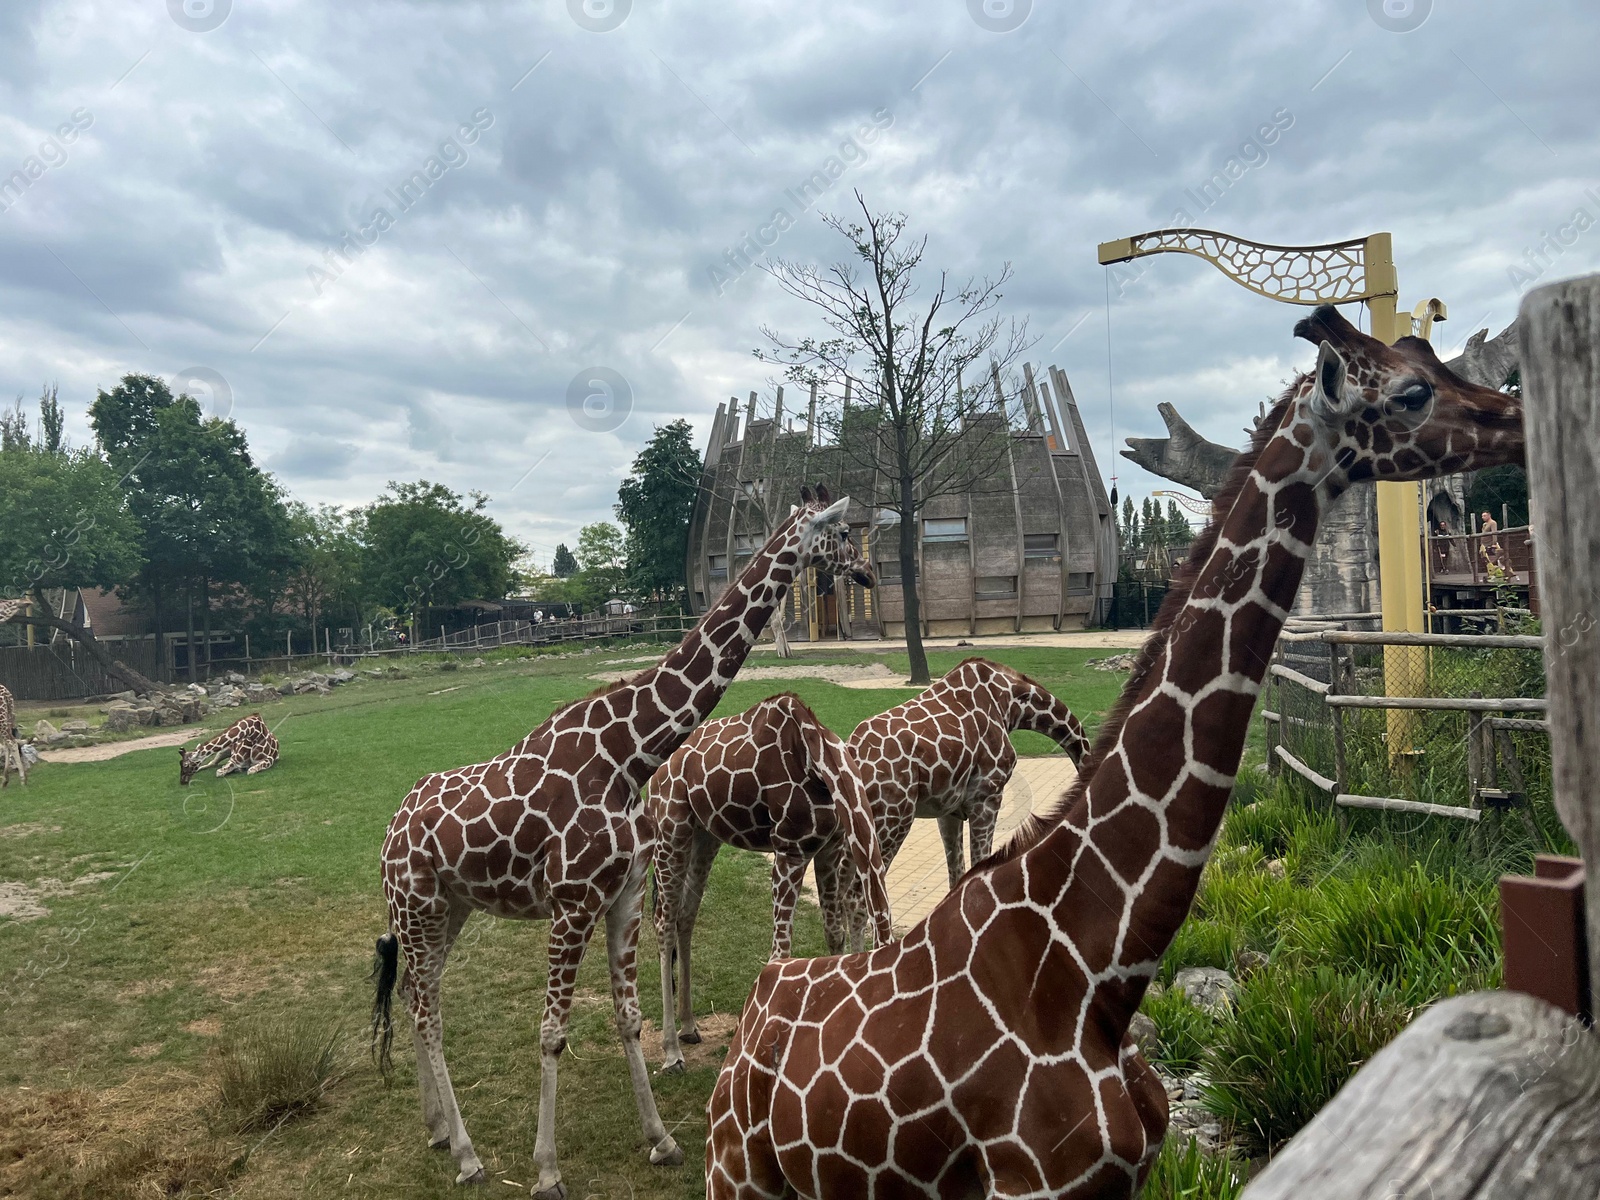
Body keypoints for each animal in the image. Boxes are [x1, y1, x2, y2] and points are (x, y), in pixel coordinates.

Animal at [368, 486, 876, 1196]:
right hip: (416, 906)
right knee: (425, 1009)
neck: (629, 754)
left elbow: (628, 1017)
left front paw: (661, 1140)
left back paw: (439, 1130)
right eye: (841, 533)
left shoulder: (624, 895)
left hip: (449, 908)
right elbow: (552, 1031)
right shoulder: (572, 901)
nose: (867, 574)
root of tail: (390, 830)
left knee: (419, 994)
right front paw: (547, 1169)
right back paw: (467, 1154)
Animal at [649, 691, 902, 1075]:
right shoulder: (789, 852)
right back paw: (671, 1052)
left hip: (704, 834)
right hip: (670, 825)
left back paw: (689, 1027)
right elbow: (780, 953)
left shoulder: (829, 848)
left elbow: (835, 934)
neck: (819, 759)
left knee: (685, 916)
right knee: (663, 922)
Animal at [851, 659, 1088, 896]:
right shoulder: (987, 796)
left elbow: (956, 873)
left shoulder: (948, 809)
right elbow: (979, 863)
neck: (1009, 702)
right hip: (892, 820)